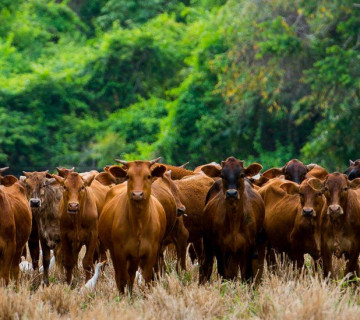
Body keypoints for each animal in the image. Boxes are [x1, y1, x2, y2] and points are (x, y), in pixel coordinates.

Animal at [97, 159, 167, 294]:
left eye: (148, 176)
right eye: (128, 176)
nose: (137, 194)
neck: (138, 224)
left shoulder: (151, 251)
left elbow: (147, 278)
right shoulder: (120, 252)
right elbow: (123, 277)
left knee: (132, 274)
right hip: (115, 252)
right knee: (120, 275)